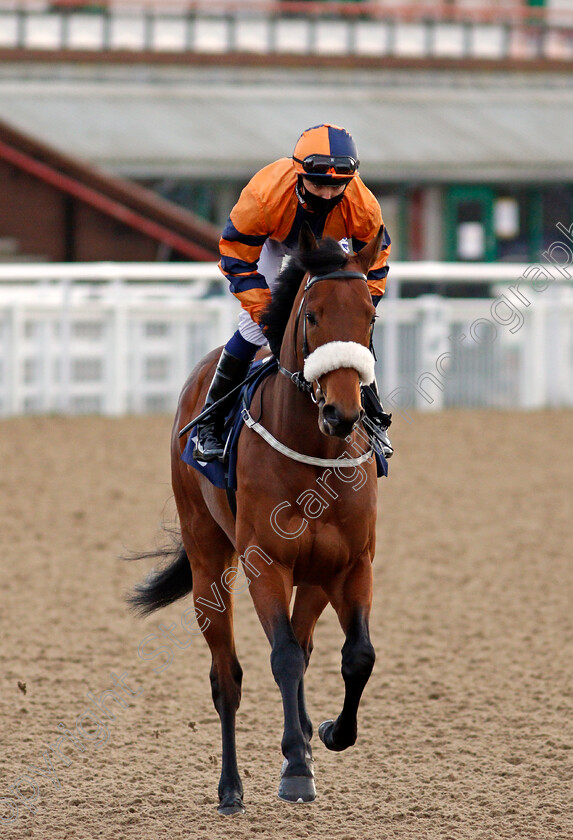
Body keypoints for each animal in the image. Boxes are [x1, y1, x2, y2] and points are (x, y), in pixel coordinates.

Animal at [130, 223, 384, 812]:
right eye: (312, 316)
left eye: (369, 316)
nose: (343, 414)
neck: (313, 450)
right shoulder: (263, 561)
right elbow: (283, 657)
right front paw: (296, 766)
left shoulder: (352, 564)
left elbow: (356, 655)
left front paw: (330, 734)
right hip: (207, 558)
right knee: (227, 676)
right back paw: (231, 788)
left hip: (314, 576)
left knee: (306, 646)